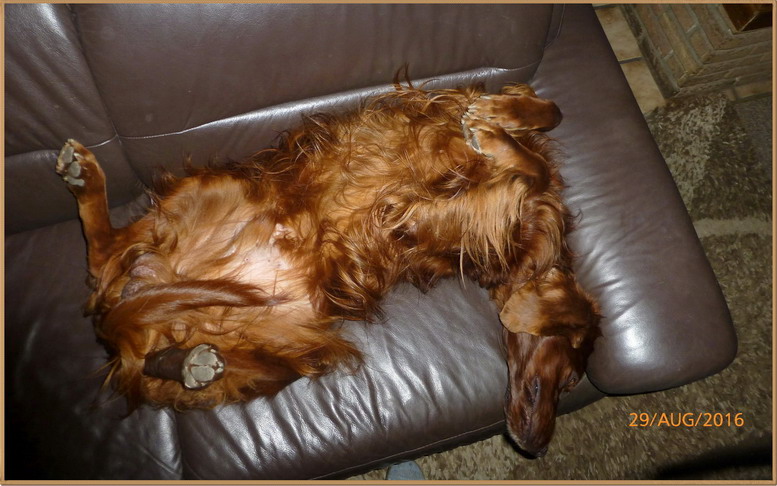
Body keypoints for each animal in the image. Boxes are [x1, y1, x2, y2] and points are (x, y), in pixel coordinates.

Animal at [57, 81, 600, 457]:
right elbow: (539, 140)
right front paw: (493, 122)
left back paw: (193, 364)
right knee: (102, 254)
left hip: (296, 335)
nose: (538, 446)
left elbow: (530, 159)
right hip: (215, 188)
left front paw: (495, 130)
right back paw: (85, 176)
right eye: (571, 379)